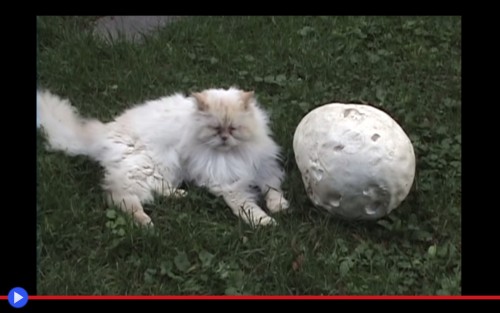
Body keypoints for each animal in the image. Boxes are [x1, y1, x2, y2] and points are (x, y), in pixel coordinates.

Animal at [36, 87, 290, 227]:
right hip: (147, 167)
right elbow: (247, 207)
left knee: (158, 189)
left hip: (162, 169)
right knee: (120, 196)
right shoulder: (228, 184)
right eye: (215, 129)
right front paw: (264, 222)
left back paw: (181, 194)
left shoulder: (264, 167)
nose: (224, 138)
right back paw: (145, 222)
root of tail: (105, 130)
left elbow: (272, 189)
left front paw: (278, 206)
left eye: (234, 129)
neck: (235, 154)